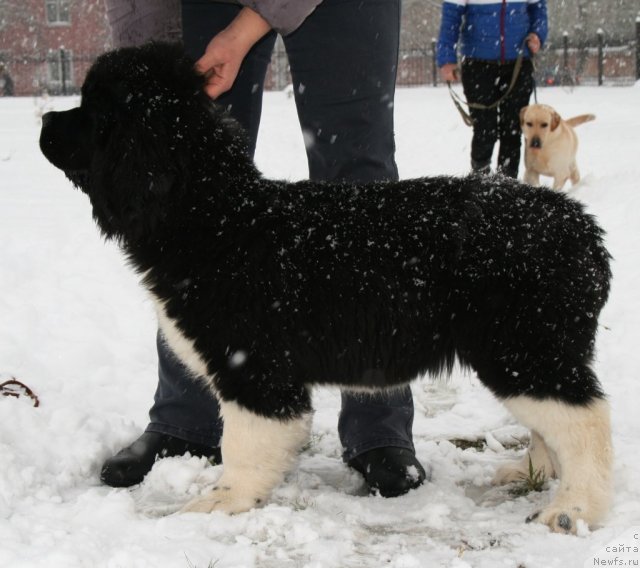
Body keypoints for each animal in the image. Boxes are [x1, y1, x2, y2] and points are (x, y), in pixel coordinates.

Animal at [38, 41, 608, 532]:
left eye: (95, 110)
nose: (43, 119)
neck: (215, 217)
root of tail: (581, 227)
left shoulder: (253, 366)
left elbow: (243, 442)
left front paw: (222, 502)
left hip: (523, 347)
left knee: (586, 421)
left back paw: (572, 508)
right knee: (554, 424)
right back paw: (534, 474)